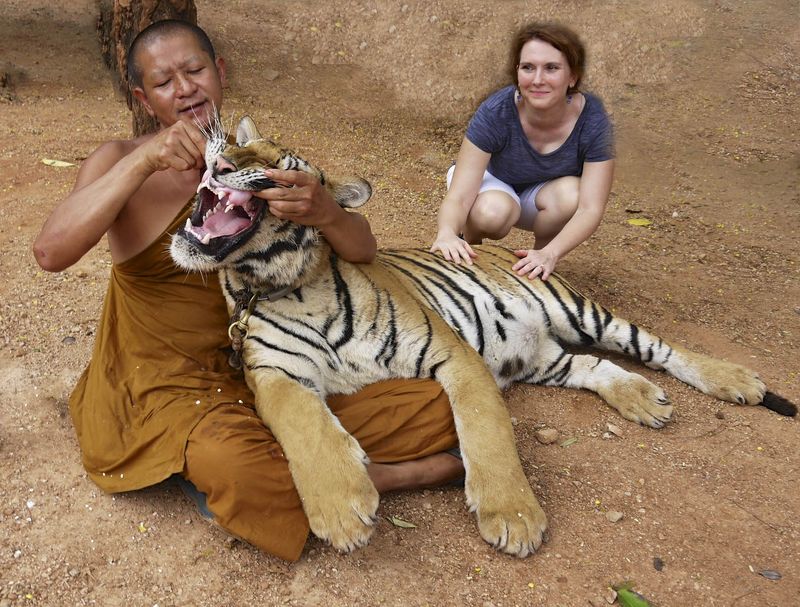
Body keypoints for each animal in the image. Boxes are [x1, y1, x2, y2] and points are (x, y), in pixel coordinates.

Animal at [170, 115, 796, 558]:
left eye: (279, 167)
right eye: (245, 148)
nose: (219, 157)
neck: (280, 284)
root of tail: (515, 252)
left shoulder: (453, 355)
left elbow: (487, 430)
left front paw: (514, 518)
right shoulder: (275, 374)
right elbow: (306, 426)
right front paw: (342, 511)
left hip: (579, 310)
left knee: (660, 348)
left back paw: (736, 380)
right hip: (545, 358)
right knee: (595, 367)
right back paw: (642, 400)